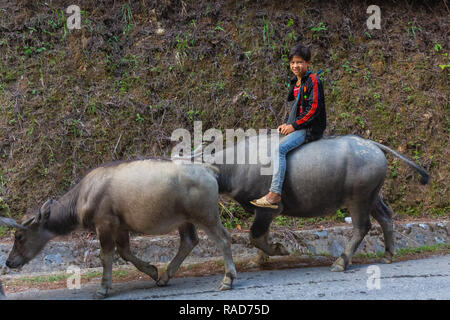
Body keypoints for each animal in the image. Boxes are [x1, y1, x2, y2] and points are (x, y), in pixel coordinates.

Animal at [5, 161, 237, 298]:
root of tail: (208, 170)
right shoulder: (120, 227)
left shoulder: (104, 224)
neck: (84, 196)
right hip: (184, 220)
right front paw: (152, 271)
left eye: (19, 236)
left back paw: (227, 279)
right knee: (189, 241)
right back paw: (164, 277)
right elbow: (125, 252)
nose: (8, 262)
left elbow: (106, 255)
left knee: (223, 239)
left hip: (206, 216)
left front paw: (103, 288)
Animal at [207, 134, 428, 272]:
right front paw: (259, 260)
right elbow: (262, 235)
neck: (237, 165)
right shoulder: (262, 212)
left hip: (359, 198)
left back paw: (341, 262)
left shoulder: (268, 209)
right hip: (373, 196)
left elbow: (255, 236)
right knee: (385, 216)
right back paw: (388, 254)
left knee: (362, 227)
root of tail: (372, 145)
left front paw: (279, 250)